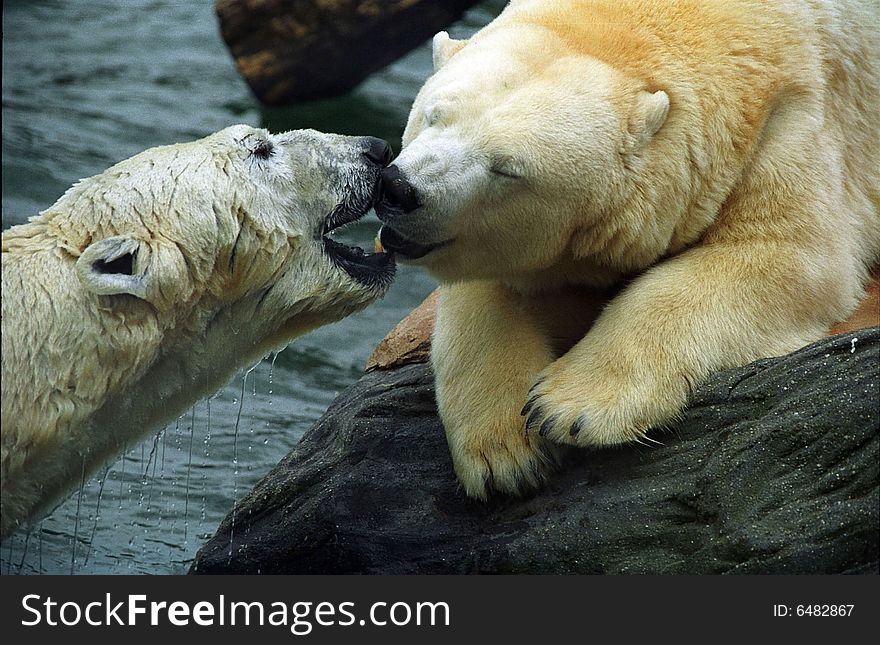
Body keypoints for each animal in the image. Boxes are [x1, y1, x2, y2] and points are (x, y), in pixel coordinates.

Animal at [376, 0, 880, 498]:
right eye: (434, 115)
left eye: (506, 169)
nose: (400, 189)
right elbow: (495, 288)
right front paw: (503, 452)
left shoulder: (800, 113)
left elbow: (785, 254)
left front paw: (569, 406)